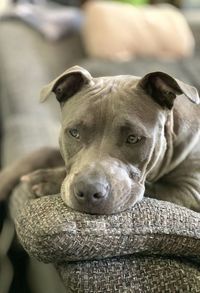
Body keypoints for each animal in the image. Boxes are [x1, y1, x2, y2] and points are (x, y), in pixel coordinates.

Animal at [0, 65, 200, 213]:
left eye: (133, 138)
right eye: (74, 132)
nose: (89, 191)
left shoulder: (188, 191)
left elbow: (151, 188)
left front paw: (48, 179)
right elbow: (42, 152)